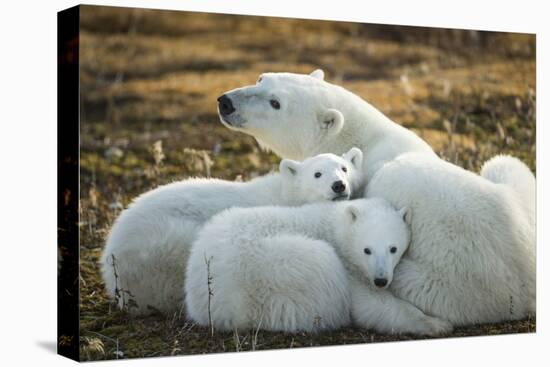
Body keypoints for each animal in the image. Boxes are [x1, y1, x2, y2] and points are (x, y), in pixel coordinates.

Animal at [220, 69, 540, 328]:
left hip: (450, 286)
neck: (362, 138)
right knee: (503, 164)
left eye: (276, 103)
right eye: (261, 78)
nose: (225, 102)